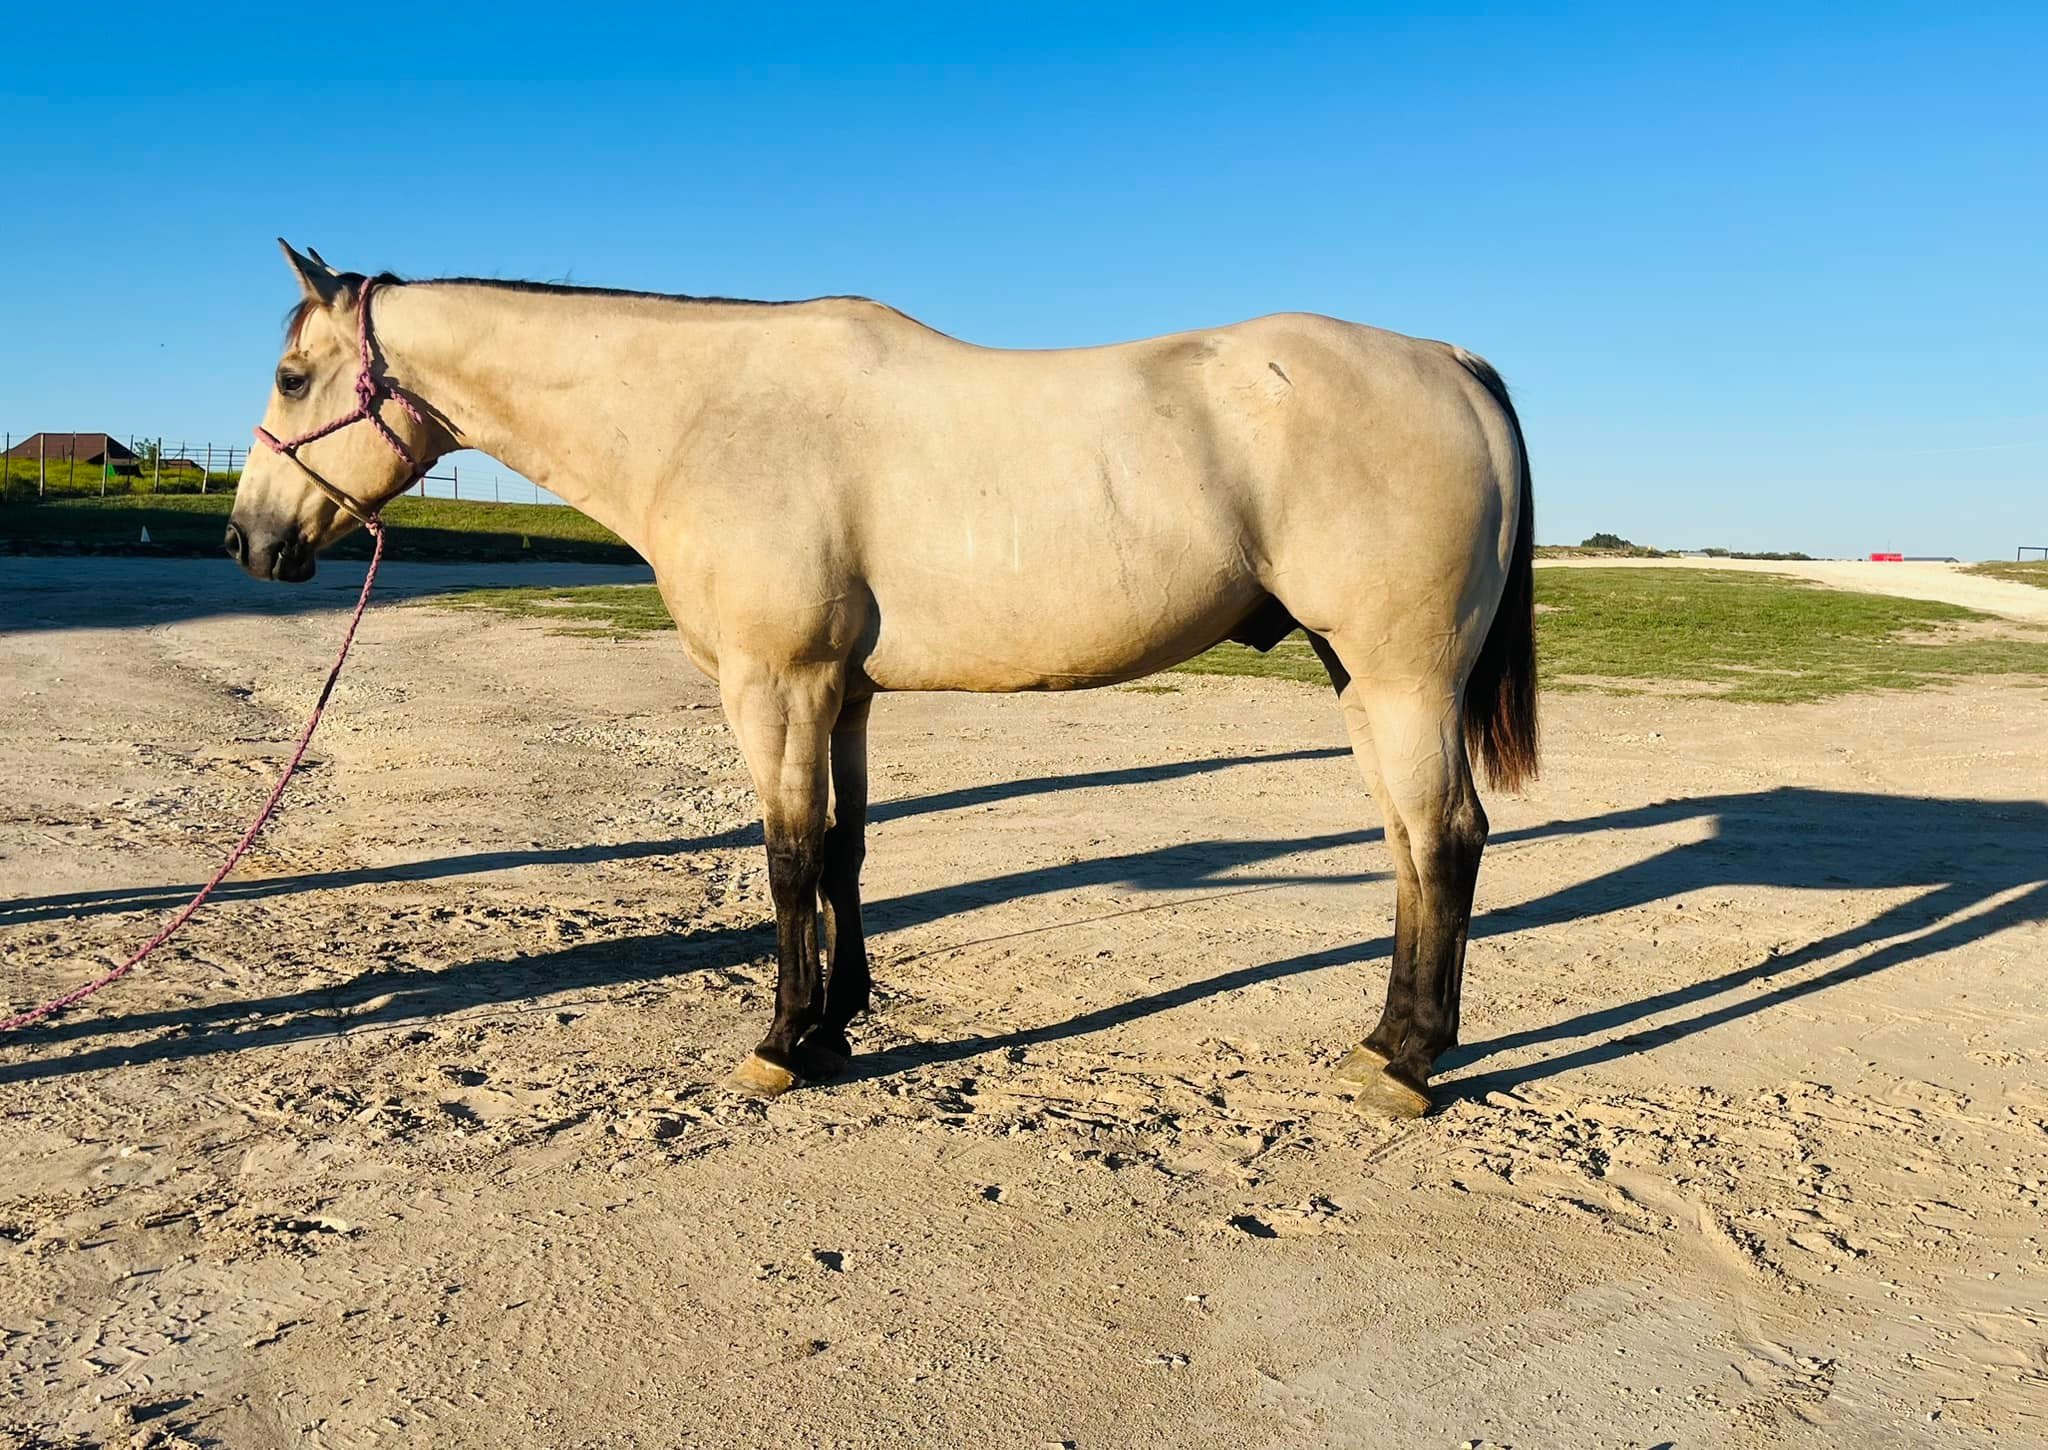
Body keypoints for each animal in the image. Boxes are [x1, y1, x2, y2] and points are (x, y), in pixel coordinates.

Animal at [228, 241, 1536, 1117]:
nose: (249, 541)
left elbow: (788, 854)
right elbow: (846, 849)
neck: (702, 414)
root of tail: (1448, 360)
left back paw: (1410, 1061)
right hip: (1358, 679)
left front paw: (782, 1040)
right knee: (1408, 843)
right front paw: (839, 1023)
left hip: (1403, 675)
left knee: (1446, 836)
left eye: (290, 377)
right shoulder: (842, 692)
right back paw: (1382, 1038)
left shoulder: (776, 684)